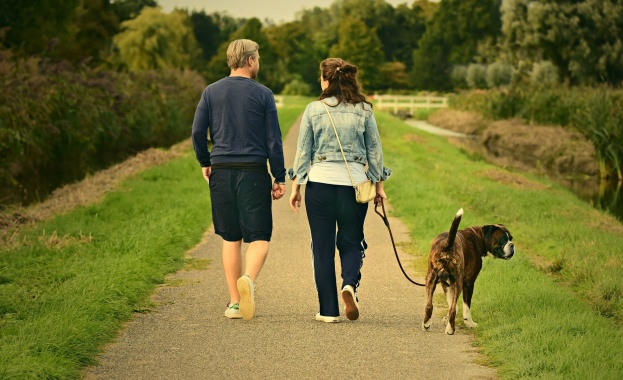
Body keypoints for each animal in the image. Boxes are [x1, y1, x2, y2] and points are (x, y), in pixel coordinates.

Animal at [424, 208, 516, 336]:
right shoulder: (468, 283)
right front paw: (470, 323)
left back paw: (427, 325)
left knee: (429, 305)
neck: (478, 238)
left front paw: (446, 320)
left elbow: (452, 304)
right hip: (458, 282)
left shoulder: (445, 283)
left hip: (431, 278)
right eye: (503, 239)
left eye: (511, 238)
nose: (512, 245)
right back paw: (450, 330)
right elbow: (465, 307)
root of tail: (447, 244)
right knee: (452, 309)